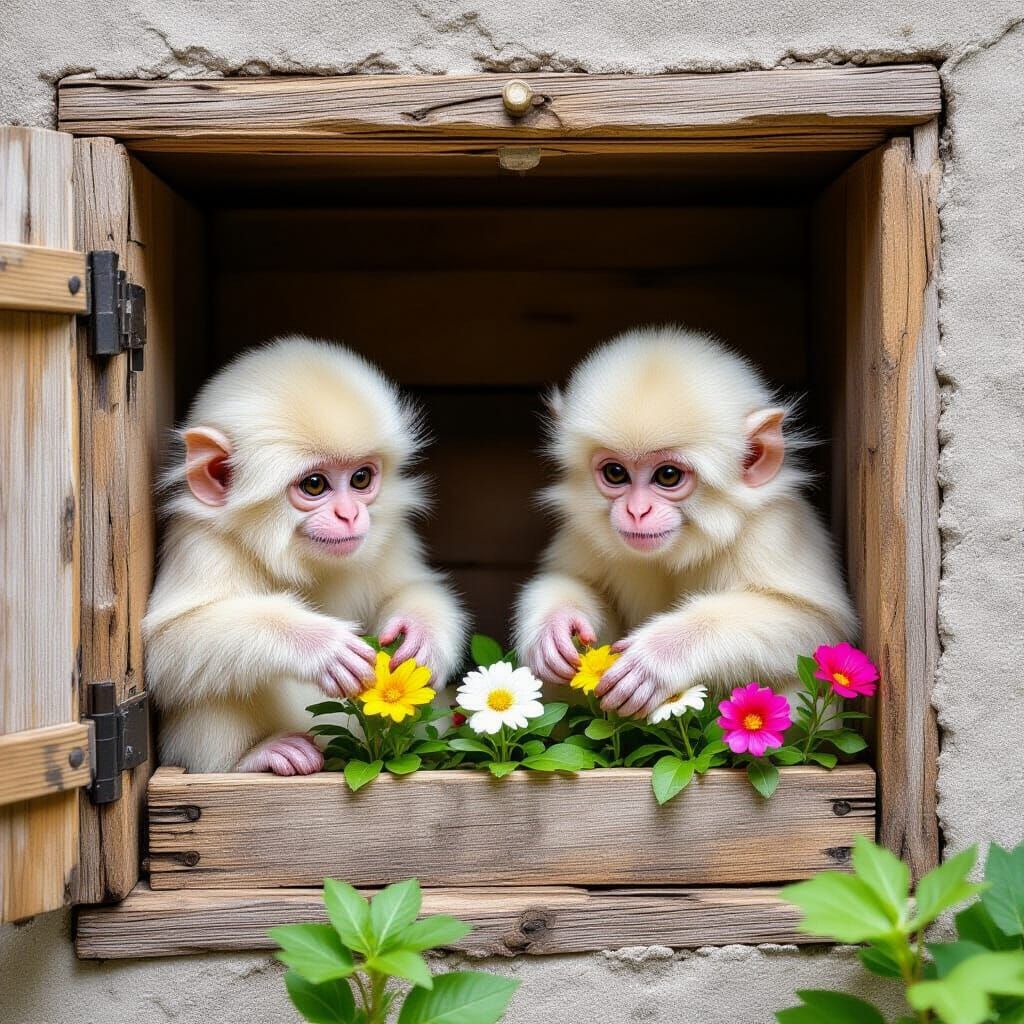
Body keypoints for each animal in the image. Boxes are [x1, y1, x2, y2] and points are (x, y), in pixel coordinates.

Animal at [143, 336, 467, 774]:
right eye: (314, 485)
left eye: (361, 478)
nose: (350, 515)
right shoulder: (201, 541)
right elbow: (167, 644)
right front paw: (318, 644)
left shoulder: (386, 534)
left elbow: (411, 587)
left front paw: (420, 635)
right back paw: (254, 757)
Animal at [513, 325, 856, 719]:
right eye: (615, 473)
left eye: (668, 476)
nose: (637, 511)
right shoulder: (586, 532)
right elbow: (574, 583)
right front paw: (554, 626)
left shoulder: (775, 529)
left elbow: (817, 623)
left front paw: (659, 654)